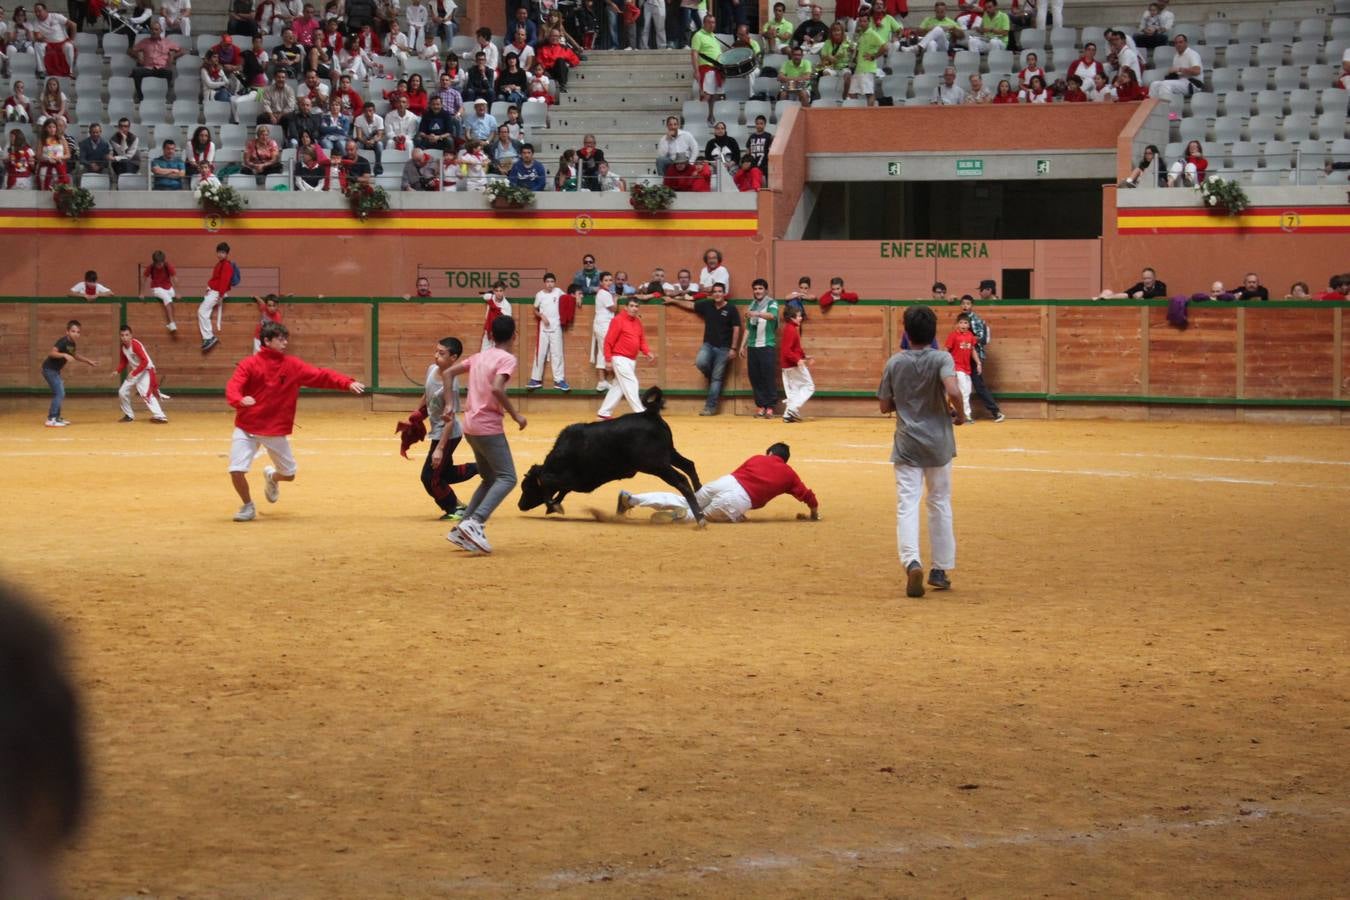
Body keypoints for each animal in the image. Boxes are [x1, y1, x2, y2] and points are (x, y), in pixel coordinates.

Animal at [515, 385, 707, 520]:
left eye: (527, 487)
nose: (520, 505)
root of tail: (649, 413)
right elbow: (561, 491)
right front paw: (553, 506)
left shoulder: (575, 480)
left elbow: (550, 483)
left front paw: (553, 506)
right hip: (669, 454)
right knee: (689, 465)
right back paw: (701, 495)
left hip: (657, 465)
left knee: (681, 481)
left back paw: (700, 517)